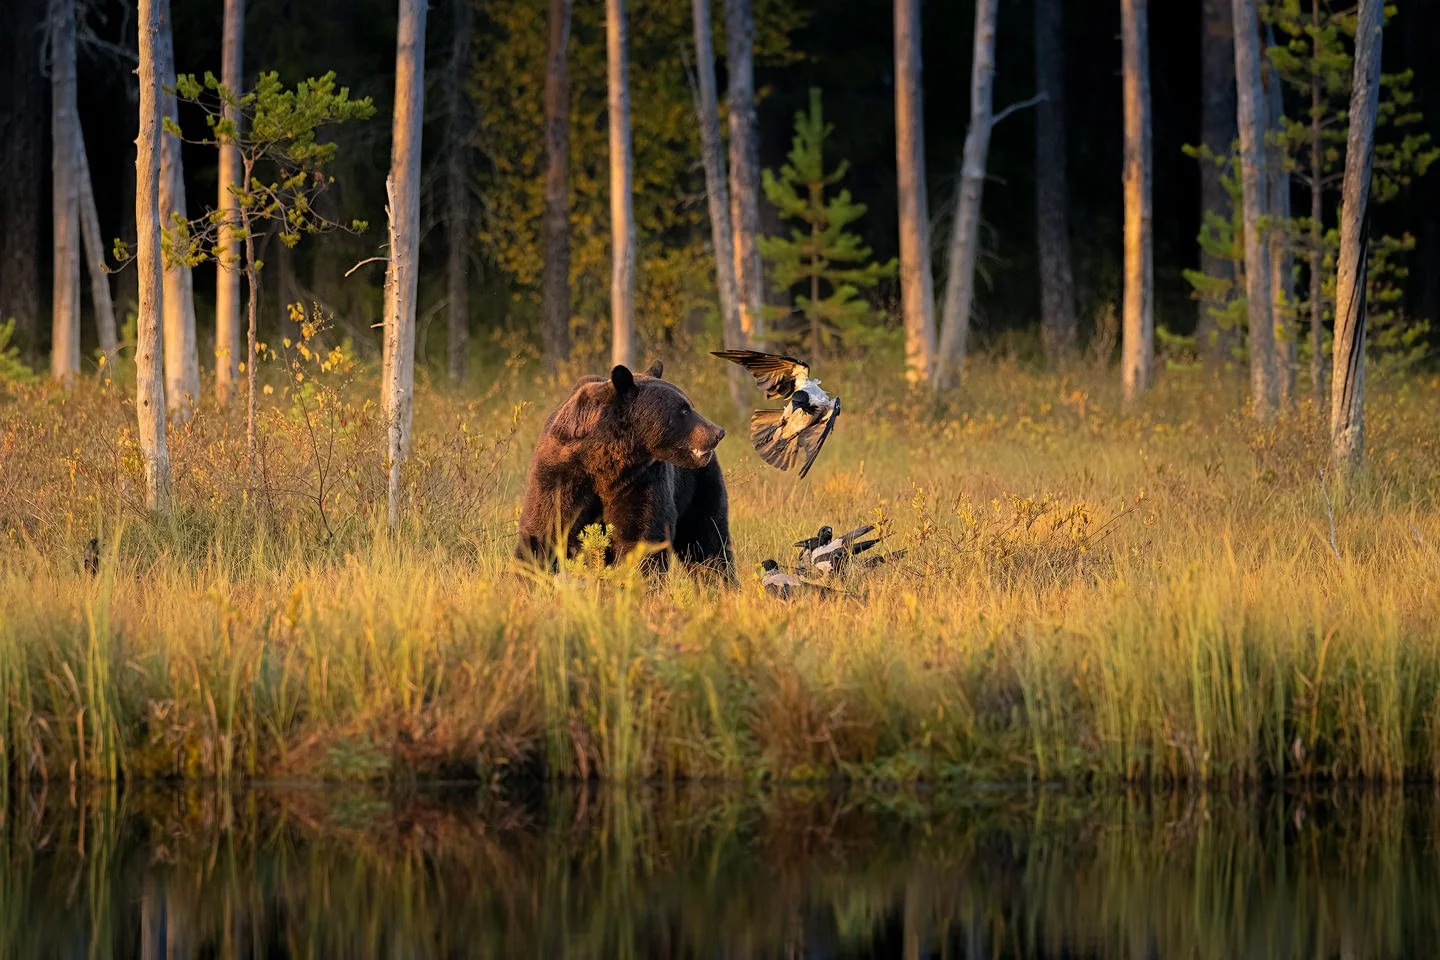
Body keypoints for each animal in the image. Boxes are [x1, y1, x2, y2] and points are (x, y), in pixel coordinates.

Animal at [515, 360, 734, 578]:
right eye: (684, 410)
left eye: (689, 406)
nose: (718, 432)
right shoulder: (561, 473)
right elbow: (543, 528)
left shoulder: (638, 480)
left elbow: (639, 533)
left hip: (697, 486)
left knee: (707, 538)